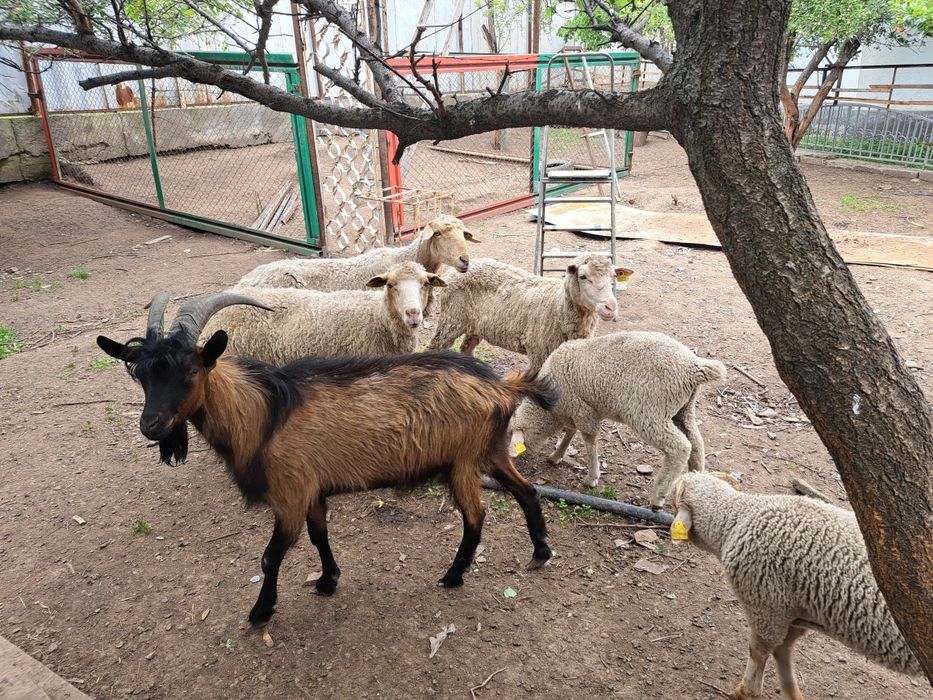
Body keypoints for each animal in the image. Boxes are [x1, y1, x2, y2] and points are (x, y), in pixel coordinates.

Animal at [96, 291, 555, 626]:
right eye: (141, 375)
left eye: (191, 371)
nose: (151, 425)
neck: (262, 414)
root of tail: (504, 386)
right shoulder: (312, 490)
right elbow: (320, 536)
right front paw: (328, 581)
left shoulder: (290, 495)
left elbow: (270, 556)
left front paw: (260, 611)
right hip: (491, 451)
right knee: (527, 492)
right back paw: (540, 553)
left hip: (462, 463)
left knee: (476, 516)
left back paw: (453, 575)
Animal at [427, 254, 632, 371]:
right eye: (583, 276)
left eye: (613, 276)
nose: (610, 307)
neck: (557, 306)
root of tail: (452, 272)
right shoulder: (538, 354)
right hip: (451, 319)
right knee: (434, 347)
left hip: (474, 325)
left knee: (466, 348)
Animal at [508, 331, 726, 504]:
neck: (549, 410)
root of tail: (694, 367)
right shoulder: (575, 410)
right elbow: (570, 431)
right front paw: (557, 455)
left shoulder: (582, 410)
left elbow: (589, 441)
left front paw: (592, 478)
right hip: (683, 410)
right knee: (696, 443)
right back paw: (695, 481)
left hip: (650, 412)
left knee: (680, 447)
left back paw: (658, 497)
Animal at [670, 472, 922, 699]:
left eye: (674, 501)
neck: (737, 519)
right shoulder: (796, 613)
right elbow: (783, 650)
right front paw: (791, 692)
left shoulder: (767, 607)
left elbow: (759, 651)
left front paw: (746, 691)